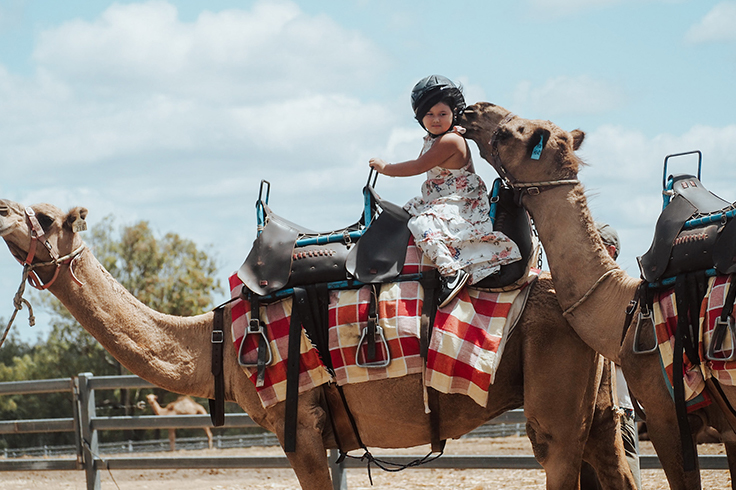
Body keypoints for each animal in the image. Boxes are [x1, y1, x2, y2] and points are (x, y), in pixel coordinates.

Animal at [0, 197, 640, 488]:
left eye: (44, 216)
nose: (3, 205)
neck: (212, 343)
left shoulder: (301, 426)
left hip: (554, 402)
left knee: (556, 450)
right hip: (598, 405)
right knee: (610, 458)